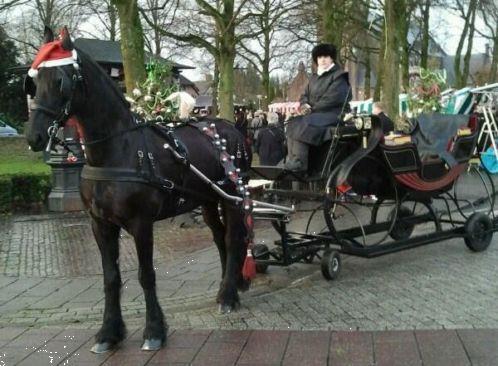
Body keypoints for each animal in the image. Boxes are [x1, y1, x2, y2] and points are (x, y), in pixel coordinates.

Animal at [25, 27, 251, 354]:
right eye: (33, 80)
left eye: (60, 80)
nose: (34, 136)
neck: (117, 151)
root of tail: (231, 128)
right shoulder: (100, 224)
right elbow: (111, 277)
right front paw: (109, 332)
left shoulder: (141, 222)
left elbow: (146, 275)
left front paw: (154, 330)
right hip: (209, 200)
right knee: (220, 237)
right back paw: (226, 287)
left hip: (232, 197)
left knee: (233, 239)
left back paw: (230, 296)